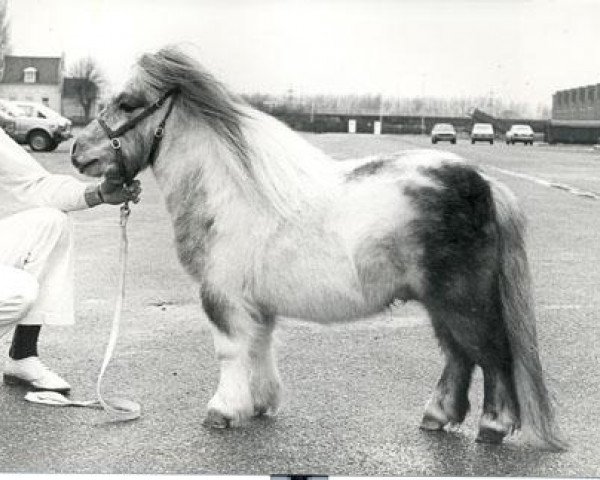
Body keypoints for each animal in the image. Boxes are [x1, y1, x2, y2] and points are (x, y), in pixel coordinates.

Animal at [70, 45, 564, 450]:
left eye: (128, 103)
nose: (77, 151)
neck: (229, 192)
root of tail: (484, 184)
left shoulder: (222, 296)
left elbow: (230, 351)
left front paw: (223, 411)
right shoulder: (255, 303)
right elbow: (259, 346)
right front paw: (261, 404)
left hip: (464, 300)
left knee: (491, 355)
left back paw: (493, 426)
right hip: (443, 303)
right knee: (460, 355)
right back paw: (436, 417)